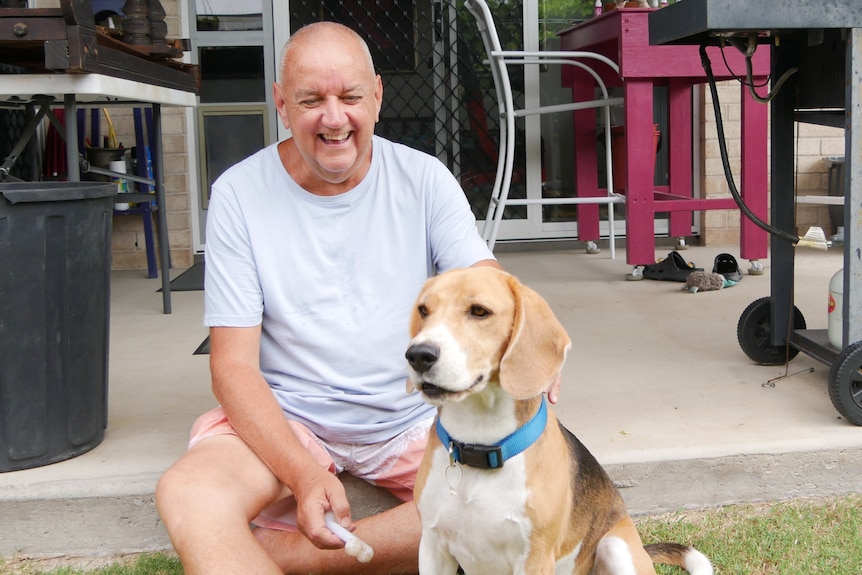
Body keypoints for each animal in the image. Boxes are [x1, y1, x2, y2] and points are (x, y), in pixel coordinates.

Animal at [408, 268, 712, 575]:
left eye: (479, 311)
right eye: (423, 310)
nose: (418, 355)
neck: (480, 442)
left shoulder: (535, 558)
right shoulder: (432, 548)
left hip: (615, 546)